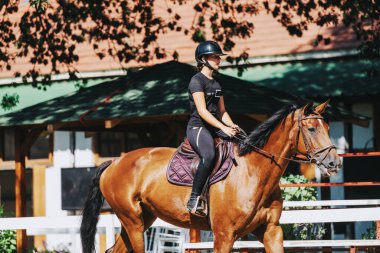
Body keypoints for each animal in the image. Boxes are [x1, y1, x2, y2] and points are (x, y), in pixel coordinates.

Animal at [80, 100, 342, 252]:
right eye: (311, 129)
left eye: (329, 128)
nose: (334, 162)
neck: (253, 172)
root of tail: (114, 163)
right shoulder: (224, 235)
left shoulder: (271, 231)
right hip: (132, 220)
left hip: (142, 219)